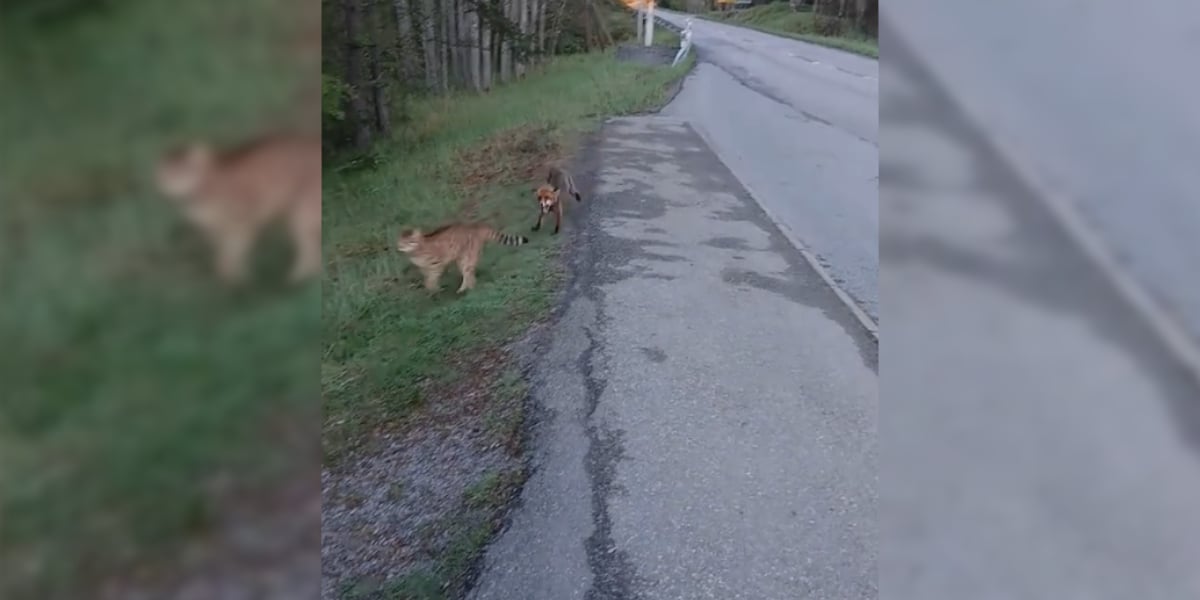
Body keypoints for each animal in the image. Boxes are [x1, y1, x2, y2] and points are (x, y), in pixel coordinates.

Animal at [155, 133, 321, 284]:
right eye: (167, 175)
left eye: (184, 173)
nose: (172, 186)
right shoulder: (213, 232)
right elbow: (222, 256)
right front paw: (231, 277)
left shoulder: (241, 226)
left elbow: (232, 254)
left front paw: (236, 282)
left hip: (302, 217)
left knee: (309, 250)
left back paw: (299, 278)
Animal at [395, 223, 528, 293]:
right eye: (403, 243)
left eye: (411, 241)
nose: (405, 246)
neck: (416, 252)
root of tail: (475, 226)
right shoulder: (424, 268)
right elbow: (427, 278)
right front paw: (432, 288)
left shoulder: (436, 264)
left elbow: (431, 279)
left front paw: (433, 288)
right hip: (461, 259)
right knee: (470, 273)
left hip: (467, 257)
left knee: (468, 273)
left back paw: (466, 288)